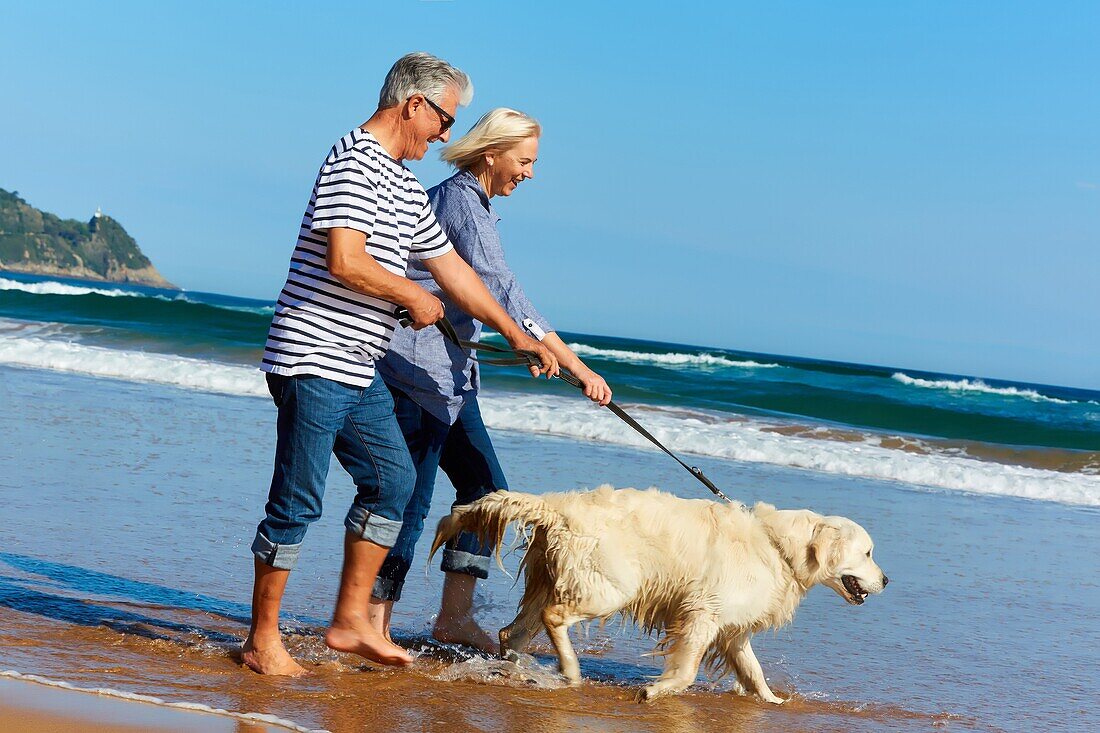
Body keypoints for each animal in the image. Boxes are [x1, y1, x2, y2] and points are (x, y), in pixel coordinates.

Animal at [429, 482, 884, 699]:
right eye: (868, 552)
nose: (886, 581)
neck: (780, 547)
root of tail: (557, 508)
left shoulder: (734, 629)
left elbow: (753, 671)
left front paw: (772, 702)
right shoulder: (703, 613)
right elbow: (686, 669)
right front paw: (657, 690)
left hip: (549, 577)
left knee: (514, 631)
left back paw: (521, 667)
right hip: (609, 586)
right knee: (554, 616)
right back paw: (571, 671)